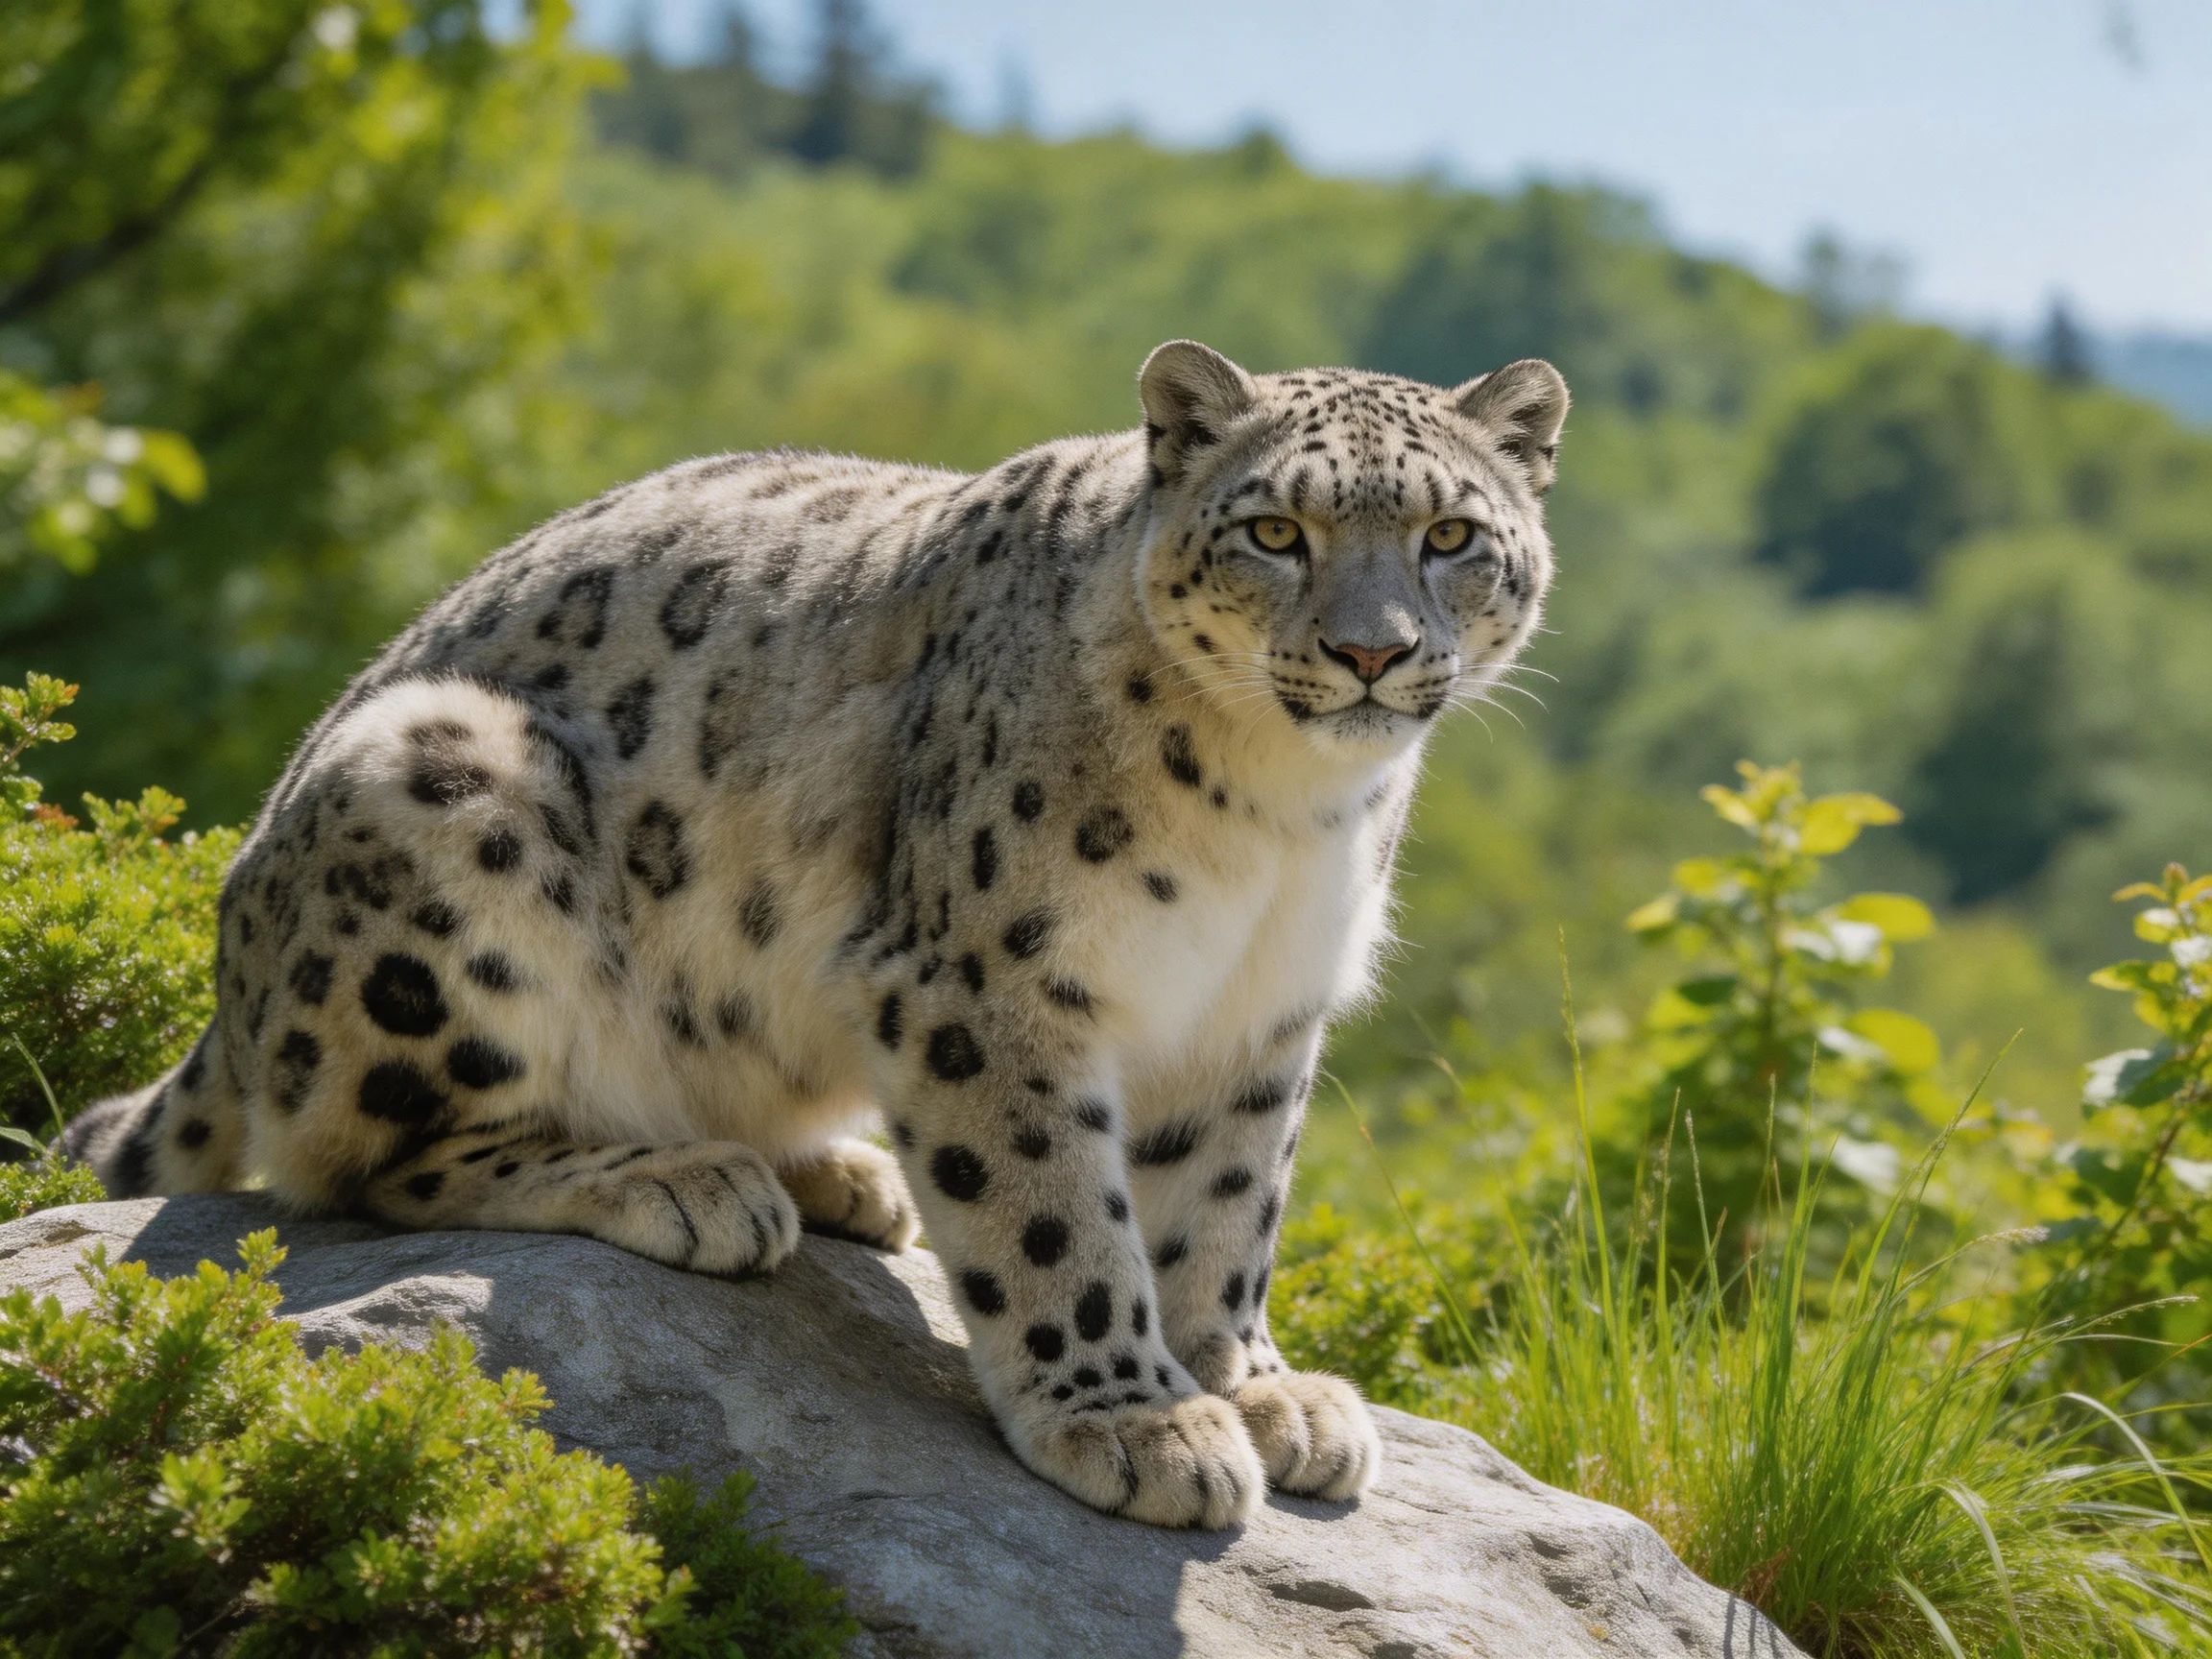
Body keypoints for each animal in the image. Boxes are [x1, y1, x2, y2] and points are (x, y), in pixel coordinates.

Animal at [66, 339, 1568, 1529]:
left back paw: (842, 1177)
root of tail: (232, 976)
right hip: (437, 808)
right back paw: (685, 1183)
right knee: (360, 1159)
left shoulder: (1257, 1013)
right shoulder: (989, 978)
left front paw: (1250, 1385)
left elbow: (1228, 1204)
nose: (1374, 652)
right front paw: (1133, 1420)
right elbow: (1052, 1207)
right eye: (1275, 533)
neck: (1282, 815)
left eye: (1450, 537)